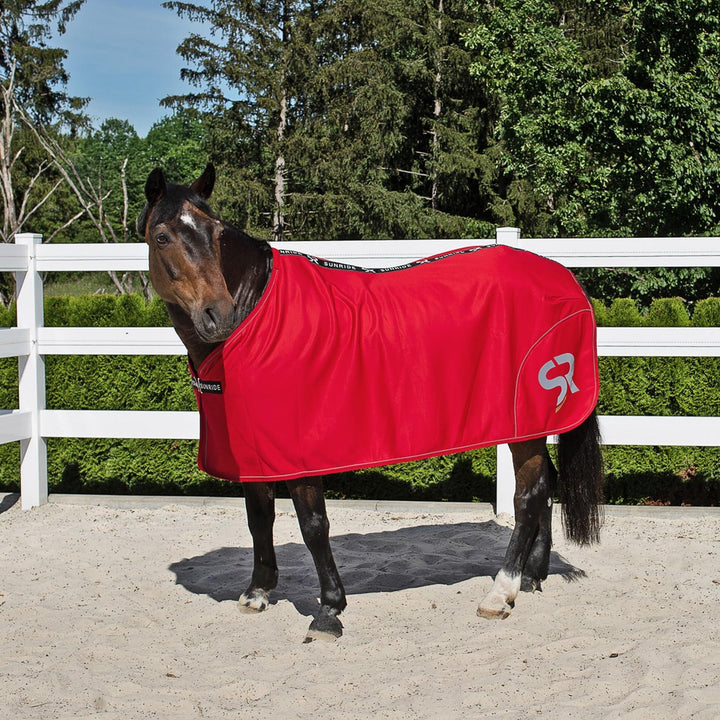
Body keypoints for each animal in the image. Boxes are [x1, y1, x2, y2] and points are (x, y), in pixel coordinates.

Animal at [137, 163, 604, 642]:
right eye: (162, 236)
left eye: (215, 232)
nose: (218, 315)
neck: (257, 313)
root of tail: (564, 278)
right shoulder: (254, 450)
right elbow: (259, 516)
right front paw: (258, 592)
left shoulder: (299, 452)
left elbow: (313, 525)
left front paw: (328, 610)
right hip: (533, 424)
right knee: (546, 486)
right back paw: (532, 576)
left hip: (523, 421)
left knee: (528, 497)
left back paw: (500, 591)